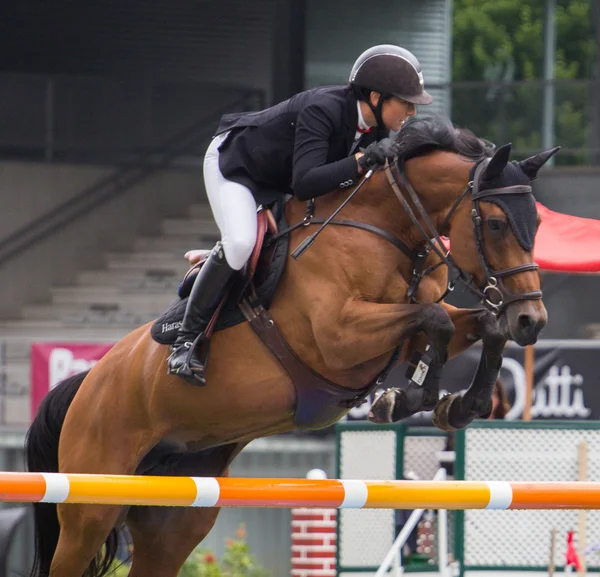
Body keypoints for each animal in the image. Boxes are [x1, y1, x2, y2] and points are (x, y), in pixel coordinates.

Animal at [24, 115, 556, 572]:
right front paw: (405, 399)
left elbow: (476, 327)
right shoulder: (340, 337)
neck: (387, 230)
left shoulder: (398, 339)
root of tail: (88, 382)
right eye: (495, 224)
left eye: (536, 224)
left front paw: (459, 405)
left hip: (177, 516)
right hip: (91, 506)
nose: (532, 321)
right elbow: (435, 321)